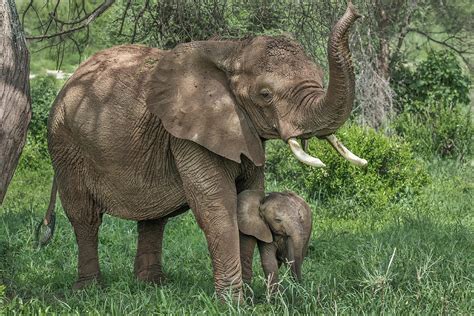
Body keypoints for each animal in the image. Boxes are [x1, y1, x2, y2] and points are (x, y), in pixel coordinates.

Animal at [39, 1, 366, 298]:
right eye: (265, 95)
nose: (355, 9)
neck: (233, 50)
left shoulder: (243, 131)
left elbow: (250, 192)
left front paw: (249, 296)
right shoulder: (187, 134)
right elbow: (217, 206)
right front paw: (233, 303)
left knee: (153, 217)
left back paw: (151, 286)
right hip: (65, 142)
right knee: (85, 216)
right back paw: (89, 291)